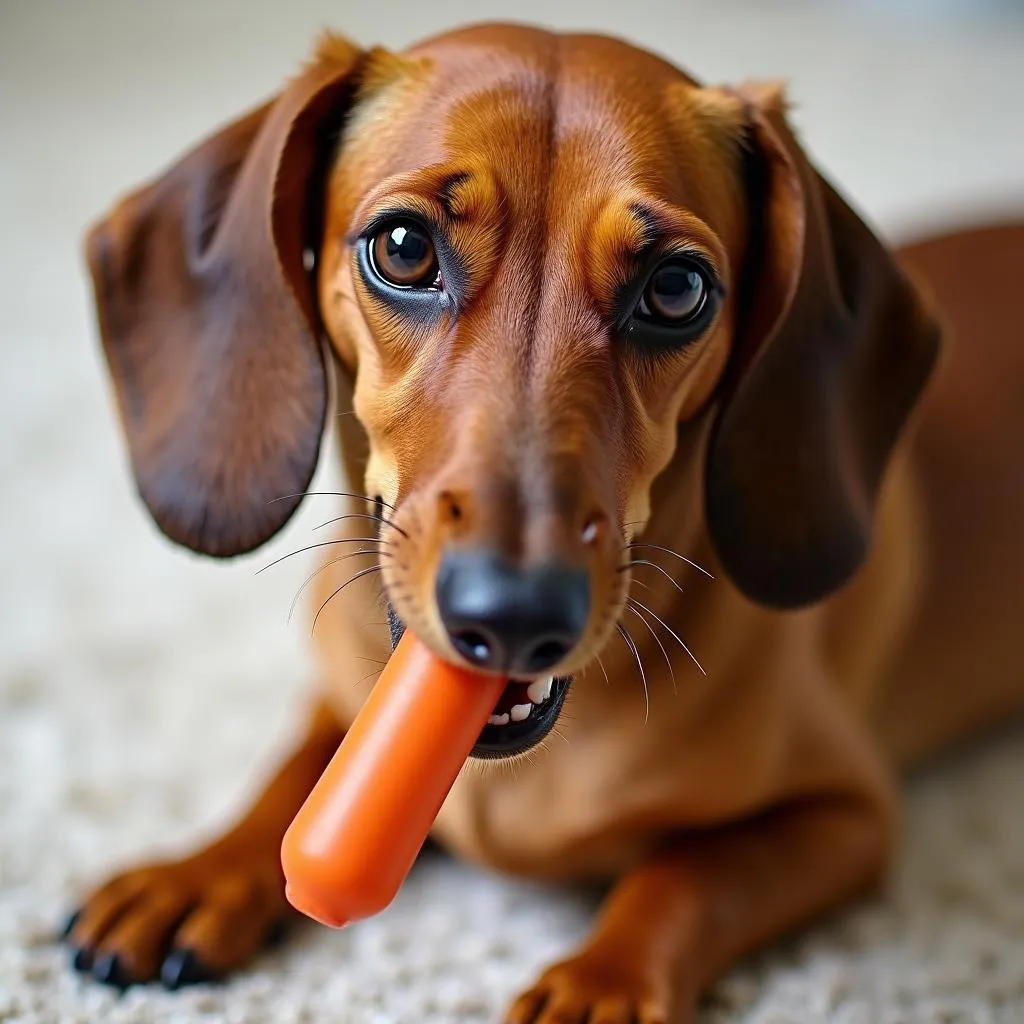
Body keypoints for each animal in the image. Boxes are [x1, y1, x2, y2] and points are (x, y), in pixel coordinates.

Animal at [66, 24, 1024, 1024]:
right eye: (402, 248)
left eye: (676, 288)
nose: (517, 616)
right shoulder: (338, 697)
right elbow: (294, 776)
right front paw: (199, 873)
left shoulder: (849, 812)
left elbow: (681, 877)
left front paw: (599, 984)